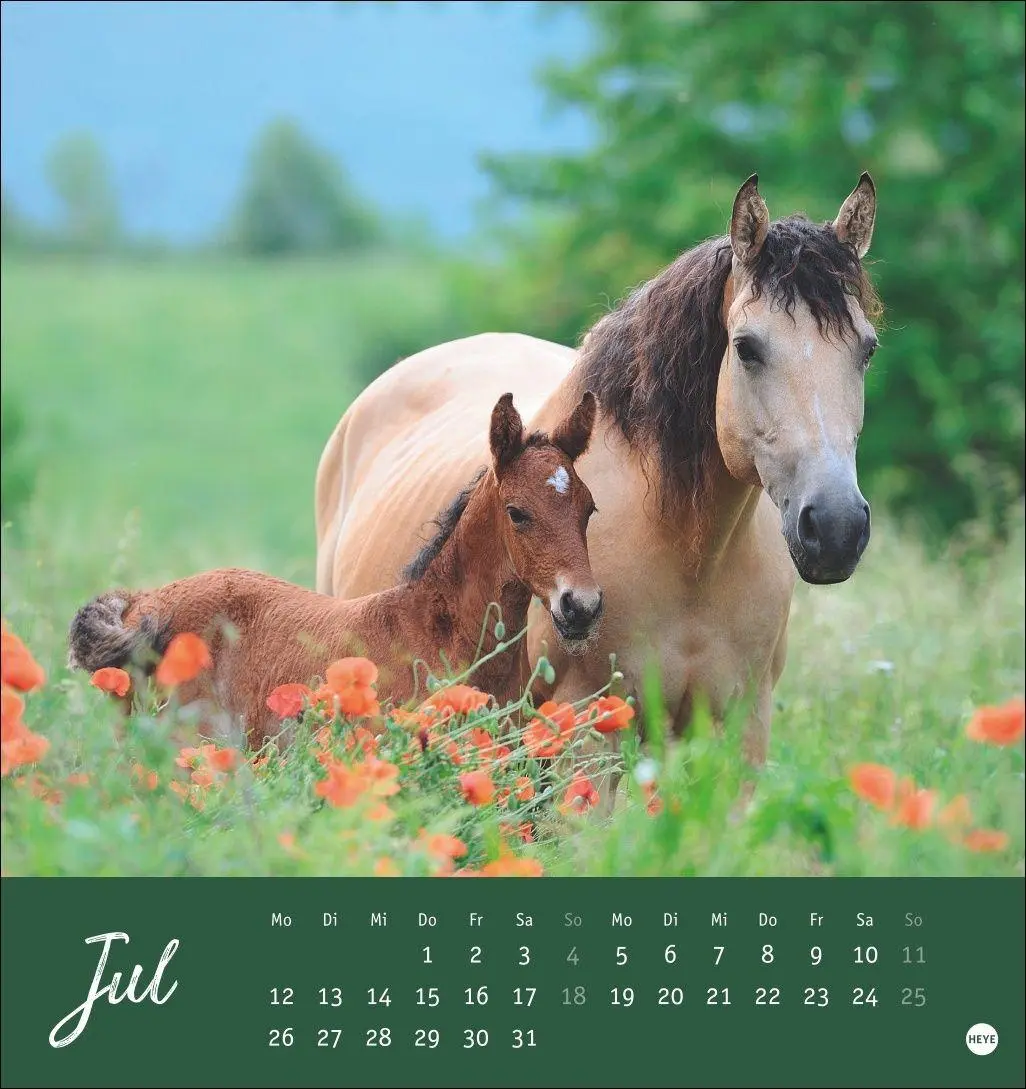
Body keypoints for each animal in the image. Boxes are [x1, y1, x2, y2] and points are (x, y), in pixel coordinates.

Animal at [314, 175, 881, 783]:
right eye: (746, 347)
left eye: (867, 349)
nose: (837, 527)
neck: (688, 559)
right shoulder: (583, 734)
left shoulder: (739, 738)